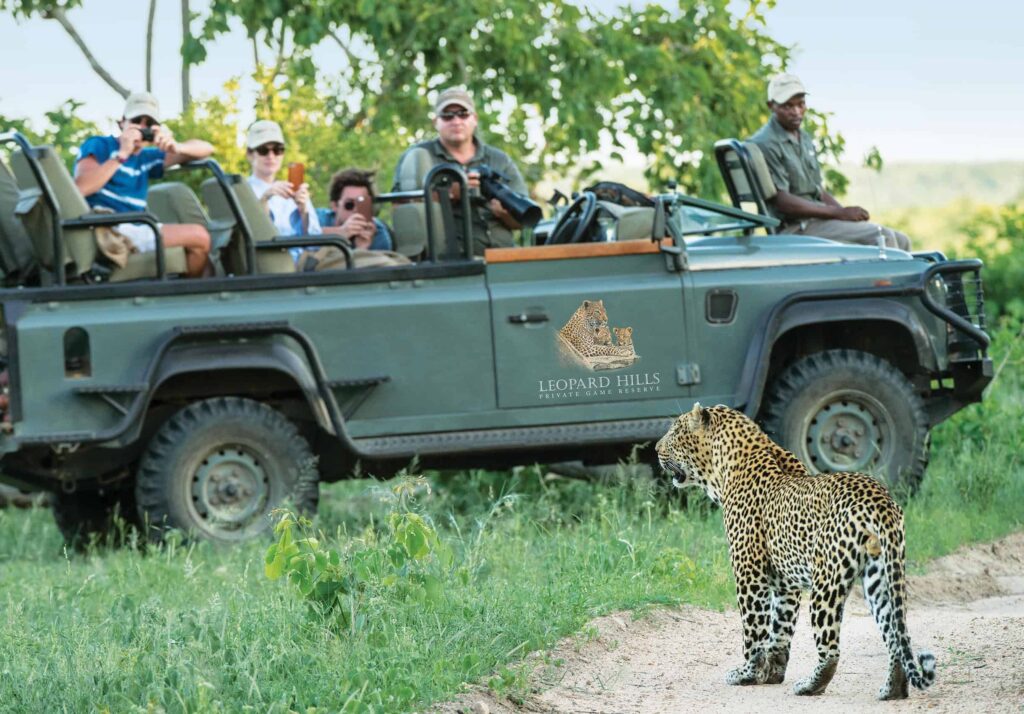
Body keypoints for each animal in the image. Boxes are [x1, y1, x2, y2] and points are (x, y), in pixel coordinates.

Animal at [655, 403, 936, 700]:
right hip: (881, 576)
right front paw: (772, 674)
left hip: (826, 582)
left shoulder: (749, 574)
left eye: (675, 431)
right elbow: (780, 629)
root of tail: (879, 498)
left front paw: (747, 674)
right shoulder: (785, 583)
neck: (724, 470)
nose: (656, 448)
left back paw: (810, 685)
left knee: (831, 647)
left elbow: (753, 629)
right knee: (895, 634)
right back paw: (892, 689)